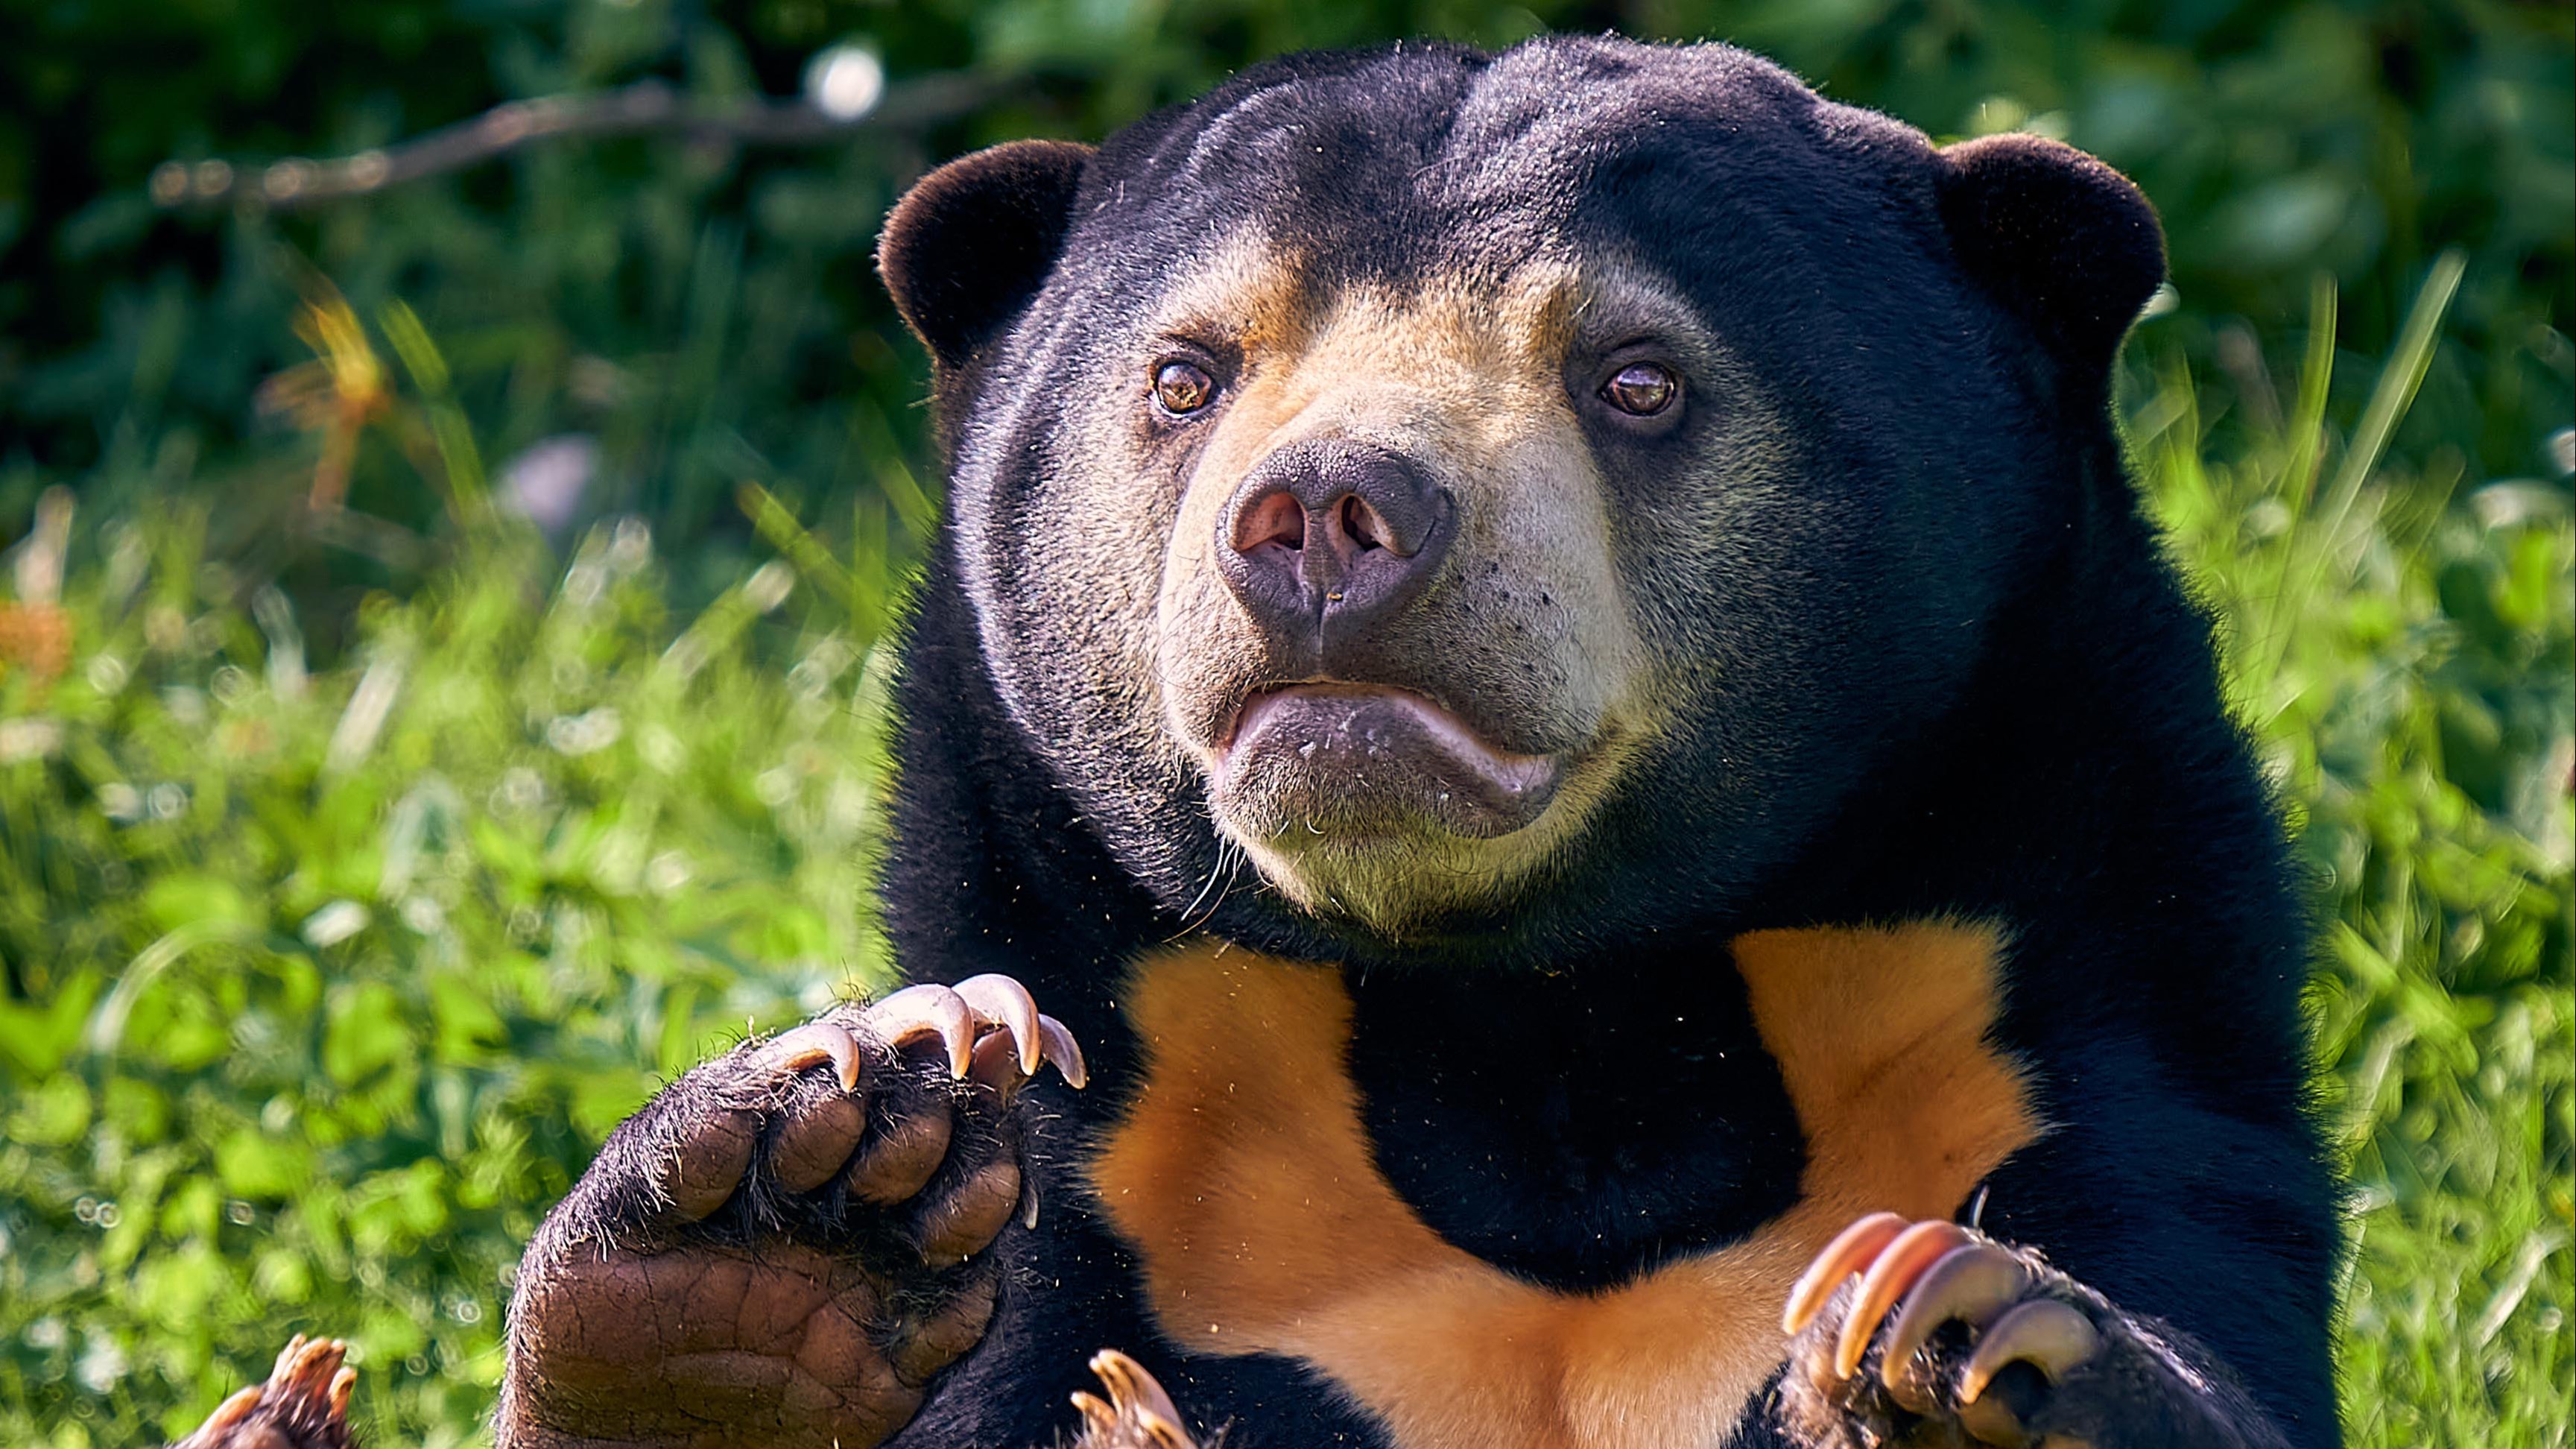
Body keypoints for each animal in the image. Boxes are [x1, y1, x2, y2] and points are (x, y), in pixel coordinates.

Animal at [458, 34, 2338, 1444]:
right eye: (1187, 375)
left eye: (1635, 376)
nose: (1323, 515)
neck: (1541, 1025)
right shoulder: (1125, 1156)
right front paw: (790, 1214)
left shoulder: (2034, 1012)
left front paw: (1962, 1350)